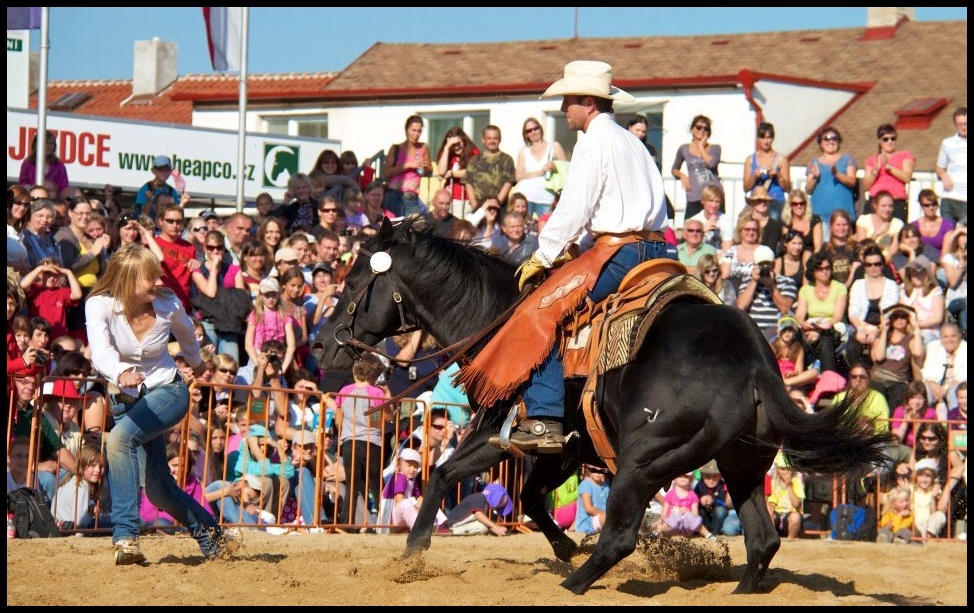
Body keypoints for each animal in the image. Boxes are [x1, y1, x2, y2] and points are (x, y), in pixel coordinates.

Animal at [316, 219, 896, 592]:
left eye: (354, 282)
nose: (323, 347)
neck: (496, 318)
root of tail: (753, 362)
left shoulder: (500, 435)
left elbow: (441, 475)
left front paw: (412, 558)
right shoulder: (565, 451)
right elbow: (530, 499)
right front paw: (563, 545)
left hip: (646, 461)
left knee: (620, 538)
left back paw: (574, 584)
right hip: (741, 463)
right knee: (762, 541)